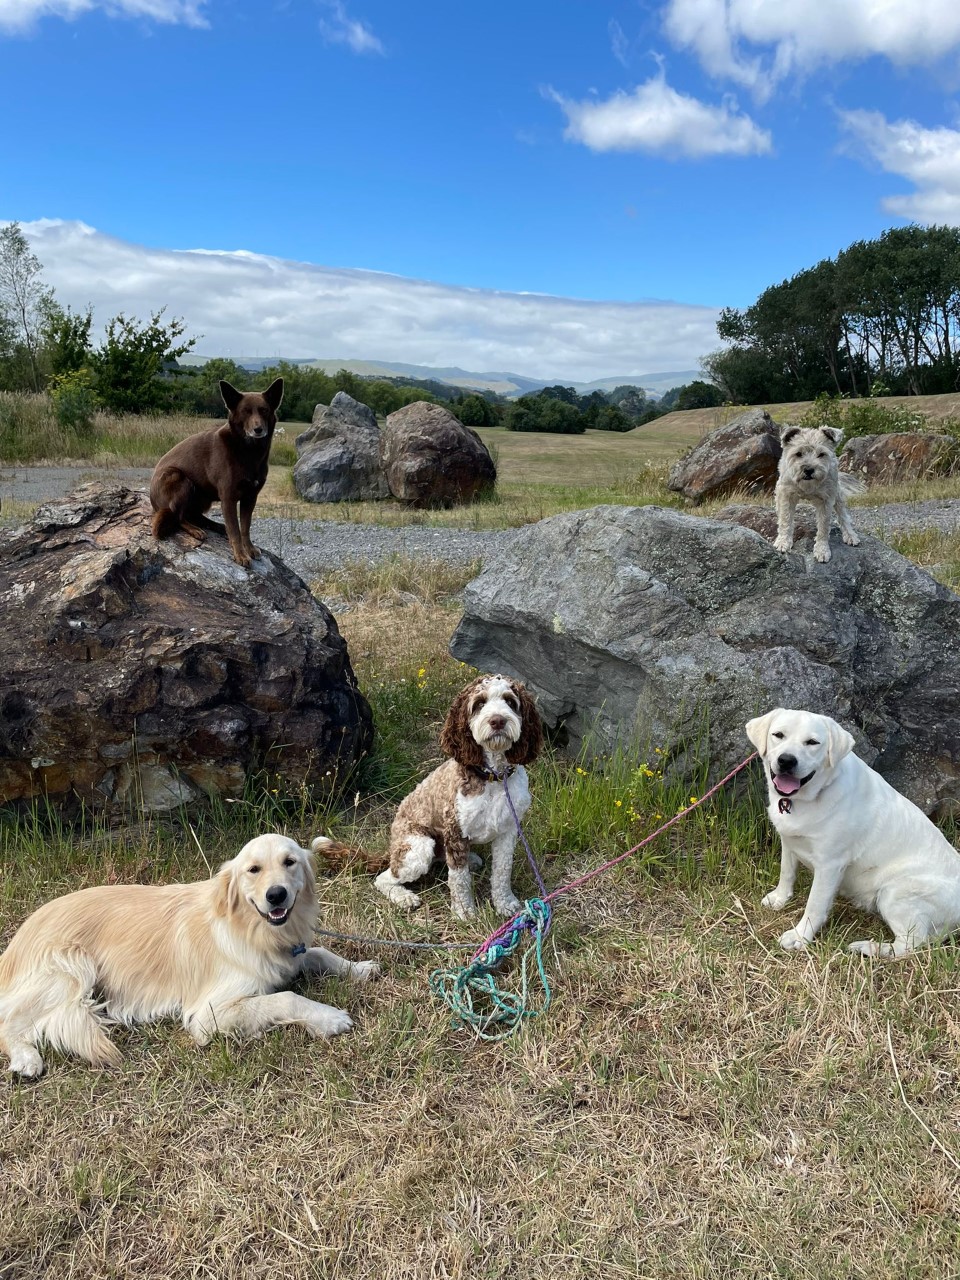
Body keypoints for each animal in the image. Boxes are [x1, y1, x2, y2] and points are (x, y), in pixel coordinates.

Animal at [0, 834, 378, 1075]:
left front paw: (358, 968)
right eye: (253, 869)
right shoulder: (207, 1014)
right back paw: (26, 1058)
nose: (276, 895)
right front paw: (329, 1017)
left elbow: (319, 952)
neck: (252, 929)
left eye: (290, 862)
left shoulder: (294, 952)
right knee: (9, 1020)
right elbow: (285, 998)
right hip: (71, 968)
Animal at [147, 373, 281, 565]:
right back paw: (195, 530)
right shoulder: (228, 497)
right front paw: (240, 555)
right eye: (246, 411)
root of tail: (154, 504)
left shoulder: (250, 498)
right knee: (179, 516)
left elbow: (245, 527)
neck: (248, 451)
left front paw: (249, 548)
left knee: (195, 515)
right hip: (180, 479)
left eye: (264, 410)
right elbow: (235, 530)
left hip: (203, 497)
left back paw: (217, 526)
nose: (258, 429)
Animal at [747, 711, 960, 962]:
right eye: (778, 735)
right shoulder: (790, 841)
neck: (812, 796)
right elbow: (786, 873)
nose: (787, 760)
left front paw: (800, 937)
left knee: (910, 945)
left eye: (812, 742)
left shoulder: (830, 864)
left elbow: (815, 905)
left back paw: (867, 948)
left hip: (895, 892)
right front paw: (780, 898)